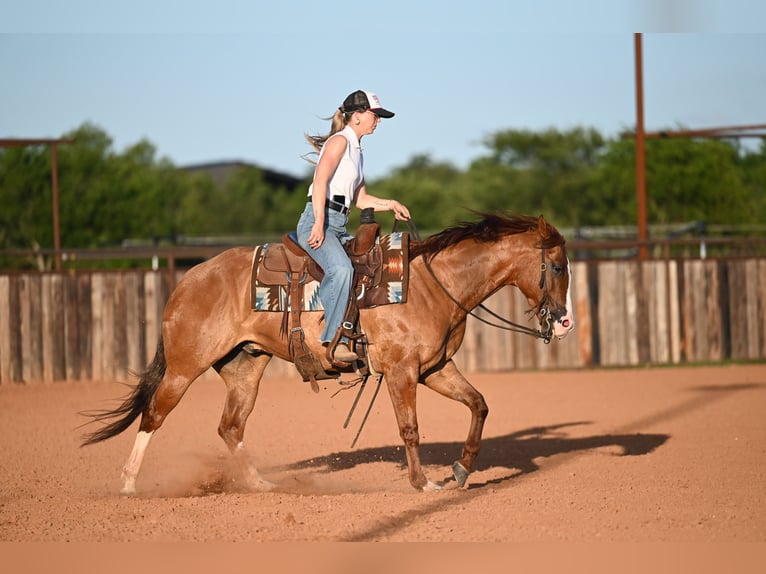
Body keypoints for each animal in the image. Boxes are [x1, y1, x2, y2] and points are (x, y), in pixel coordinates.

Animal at [81, 212, 575, 493]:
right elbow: (410, 429)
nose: (565, 321)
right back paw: (128, 484)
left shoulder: (435, 368)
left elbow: (479, 405)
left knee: (230, 427)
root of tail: (187, 280)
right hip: (185, 367)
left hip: (245, 367)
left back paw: (259, 483)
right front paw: (423, 483)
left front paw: (461, 469)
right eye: (554, 266)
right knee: (153, 415)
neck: (433, 284)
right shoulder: (402, 371)